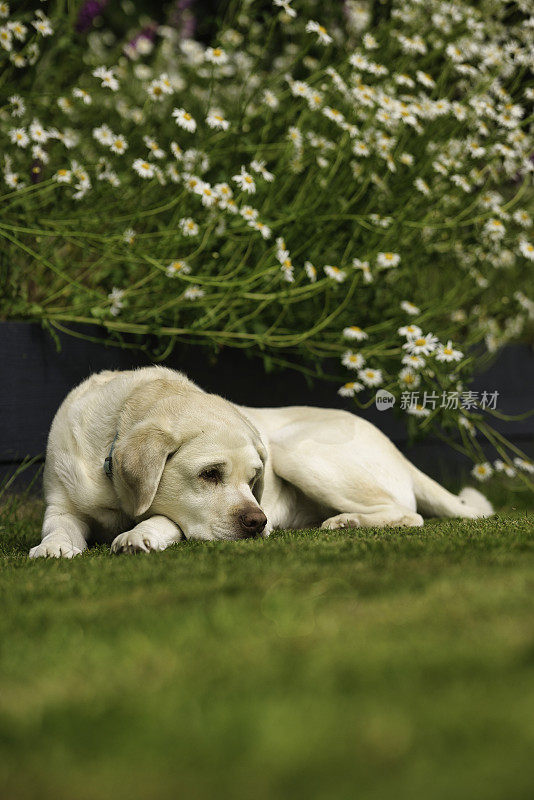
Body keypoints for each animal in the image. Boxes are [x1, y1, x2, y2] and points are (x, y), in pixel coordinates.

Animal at [30, 362, 494, 556]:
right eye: (210, 474)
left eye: (255, 479)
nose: (258, 522)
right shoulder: (60, 503)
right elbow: (60, 528)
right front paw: (54, 547)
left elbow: (162, 518)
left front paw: (138, 535)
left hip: (296, 451)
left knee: (408, 514)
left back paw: (347, 521)